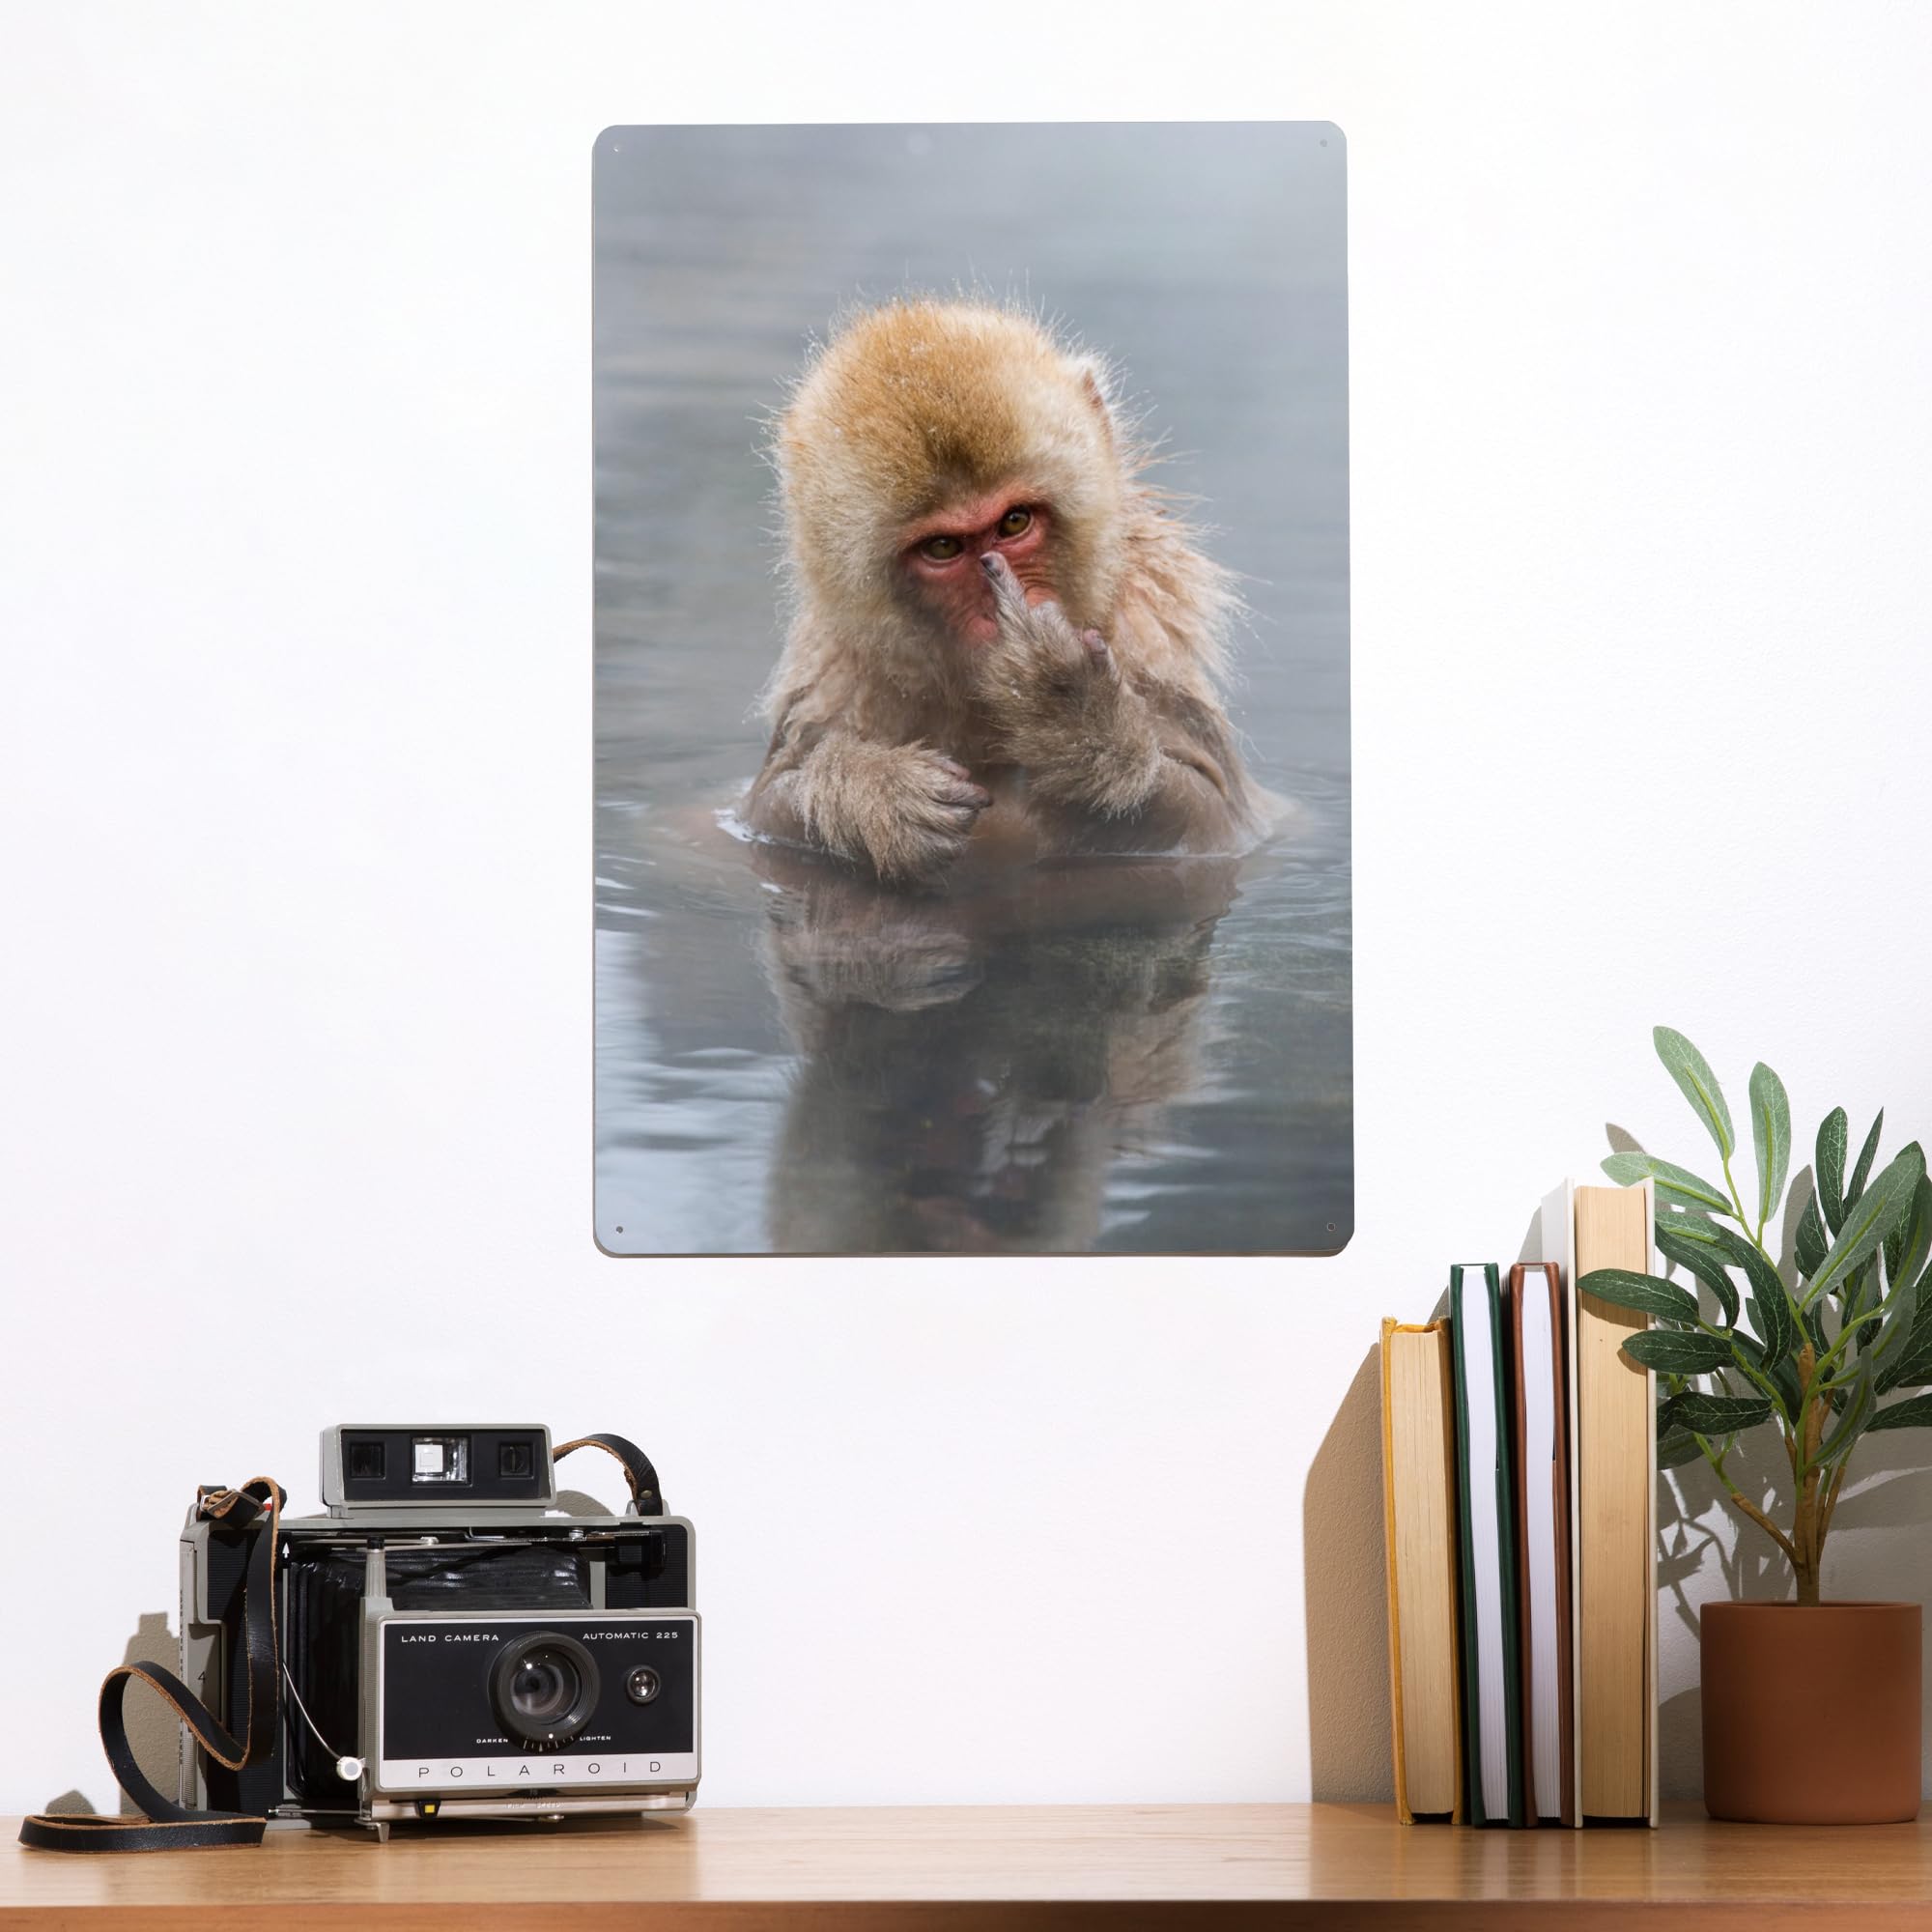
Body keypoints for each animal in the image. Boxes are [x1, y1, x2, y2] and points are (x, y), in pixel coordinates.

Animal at [743, 299, 1259, 886]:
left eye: (1014, 522)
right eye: (943, 547)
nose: (1000, 609)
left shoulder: (1151, 649)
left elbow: (1217, 818)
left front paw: (1072, 713)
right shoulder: (834, 678)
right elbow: (765, 808)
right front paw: (872, 790)